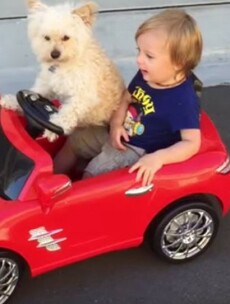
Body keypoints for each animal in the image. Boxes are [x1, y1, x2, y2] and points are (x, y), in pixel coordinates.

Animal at [0, 0, 124, 141]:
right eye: (46, 37)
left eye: (66, 37)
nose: (54, 54)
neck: (64, 64)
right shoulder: (47, 85)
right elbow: (33, 93)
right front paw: (12, 101)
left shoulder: (84, 96)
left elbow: (69, 111)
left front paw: (54, 128)